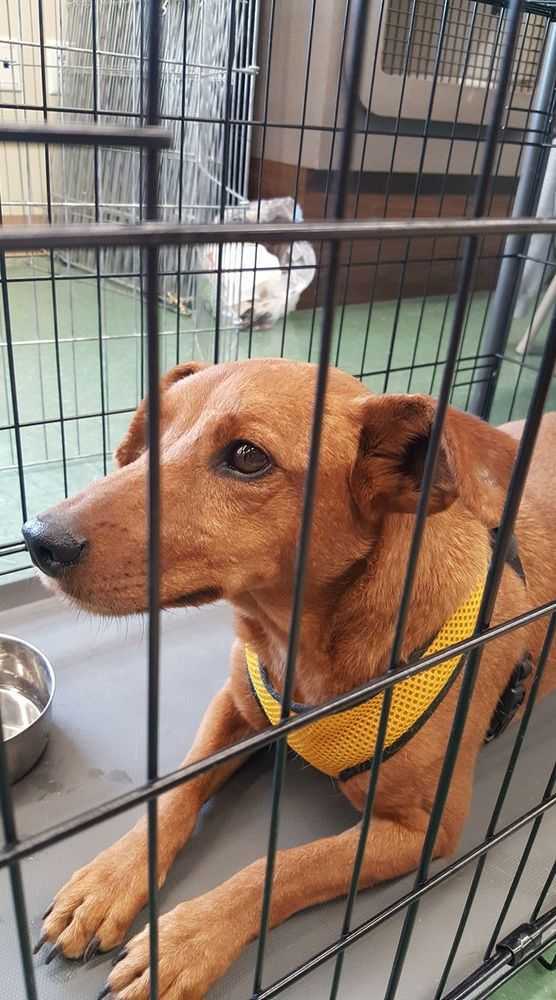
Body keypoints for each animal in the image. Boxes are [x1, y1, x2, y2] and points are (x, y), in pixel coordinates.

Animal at [22, 362, 556, 1000]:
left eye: (248, 456)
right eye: (150, 435)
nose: (38, 538)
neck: (303, 647)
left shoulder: (426, 830)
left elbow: (282, 869)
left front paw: (184, 941)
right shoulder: (234, 708)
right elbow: (174, 794)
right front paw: (109, 880)